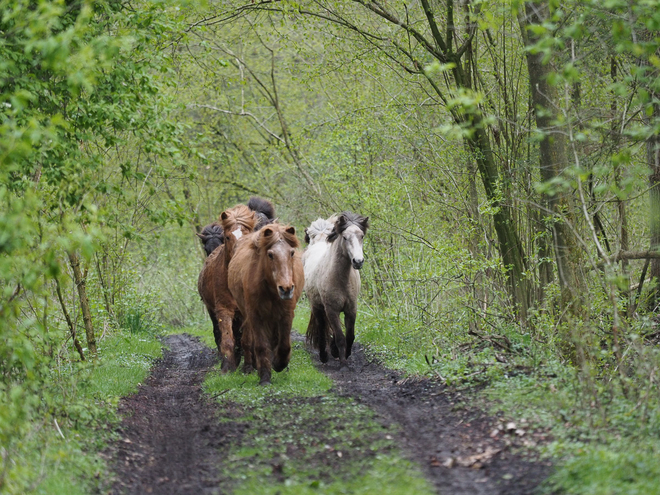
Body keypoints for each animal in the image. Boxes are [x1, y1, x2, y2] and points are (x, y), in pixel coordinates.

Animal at [228, 225, 306, 388]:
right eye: (270, 254)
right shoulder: (256, 316)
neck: (271, 289)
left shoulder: (286, 315)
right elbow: (261, 346)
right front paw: (264, 377)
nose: (286, 289)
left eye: (291, 252)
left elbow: (284, 345)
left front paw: (279, 363)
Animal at [302, 211, 368, 370]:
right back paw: (324, 355)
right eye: (345, 237)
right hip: (318, 307)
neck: (341, 279)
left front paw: (345, 354)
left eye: (362, 236)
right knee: (321, 328)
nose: (358, 261)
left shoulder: (351, 309)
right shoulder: (331, 310)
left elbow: (350, 335)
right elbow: (340, 337)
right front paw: (343, 363)